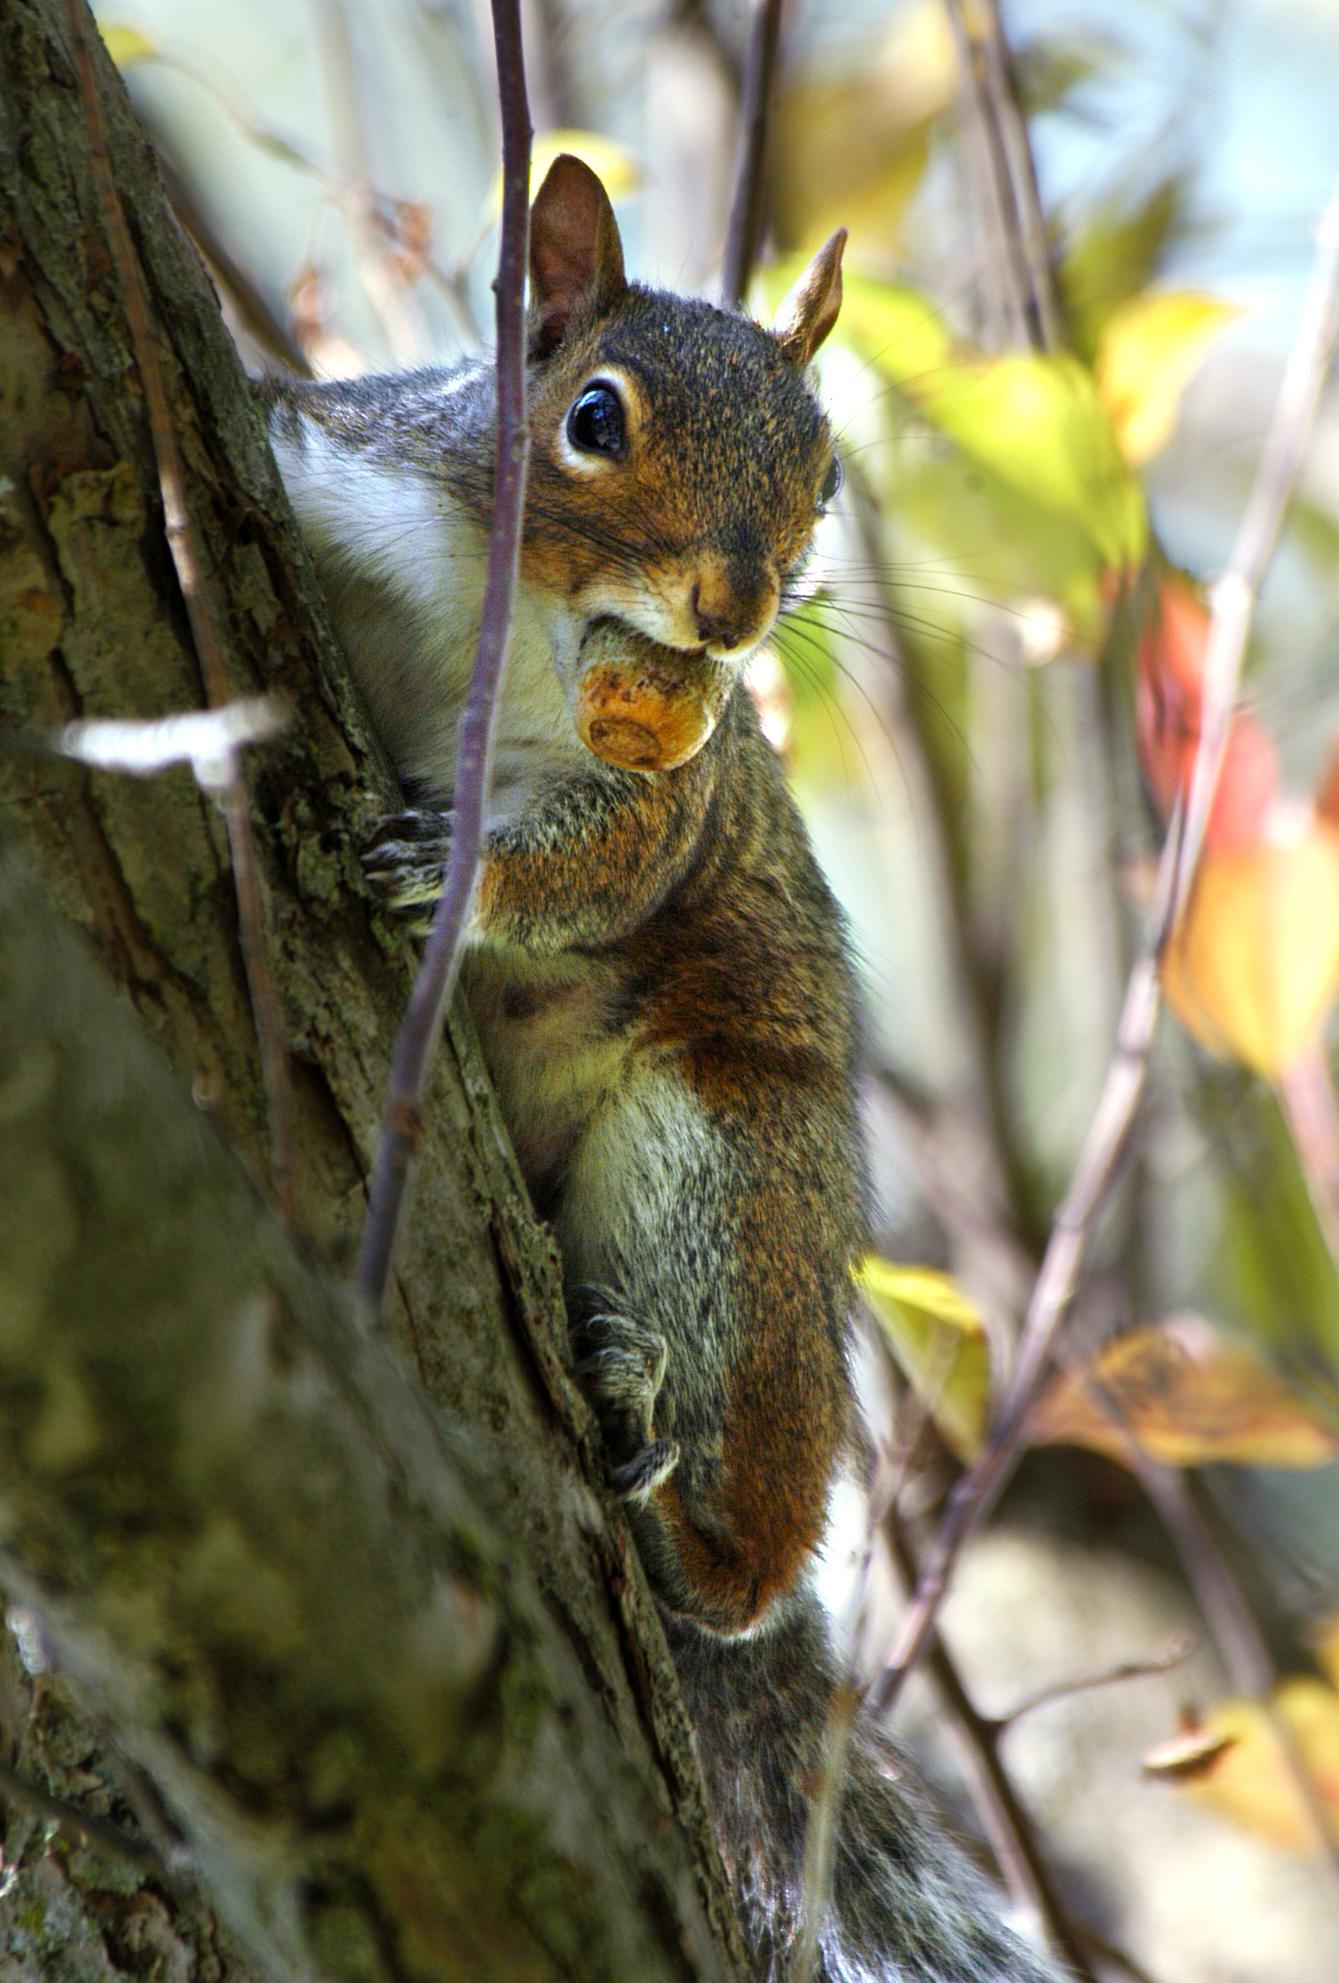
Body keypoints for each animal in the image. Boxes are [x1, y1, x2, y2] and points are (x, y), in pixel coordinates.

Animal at [259, 154, 1055, 1983]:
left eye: (824, 471)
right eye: (589, 418)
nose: (737, 605)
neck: (525, 619)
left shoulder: (671, 784)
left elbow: (597, 868)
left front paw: (459, 876)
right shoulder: (334, 481)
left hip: (727, 1181)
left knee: (742, 1554)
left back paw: (660, 1462)